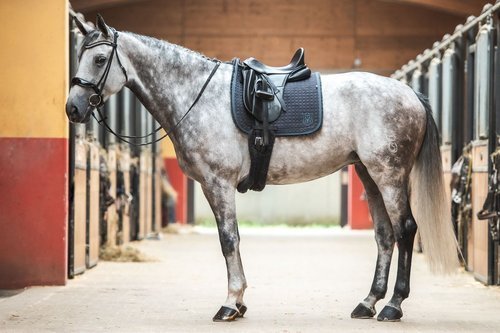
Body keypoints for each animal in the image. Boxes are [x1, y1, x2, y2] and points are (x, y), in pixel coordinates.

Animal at [67, 15, 460, 322]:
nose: (73, 108)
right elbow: (232, 239)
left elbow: (228, 240)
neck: (196, 95)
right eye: (80, 56)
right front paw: (239, 303)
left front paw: (231, 303)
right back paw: (368, 303)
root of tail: (409, 94)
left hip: (389, 175)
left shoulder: (218, 183)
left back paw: (393, 305)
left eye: (100, 59)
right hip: (369, 174)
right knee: (384, 235)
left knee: (405, 230)